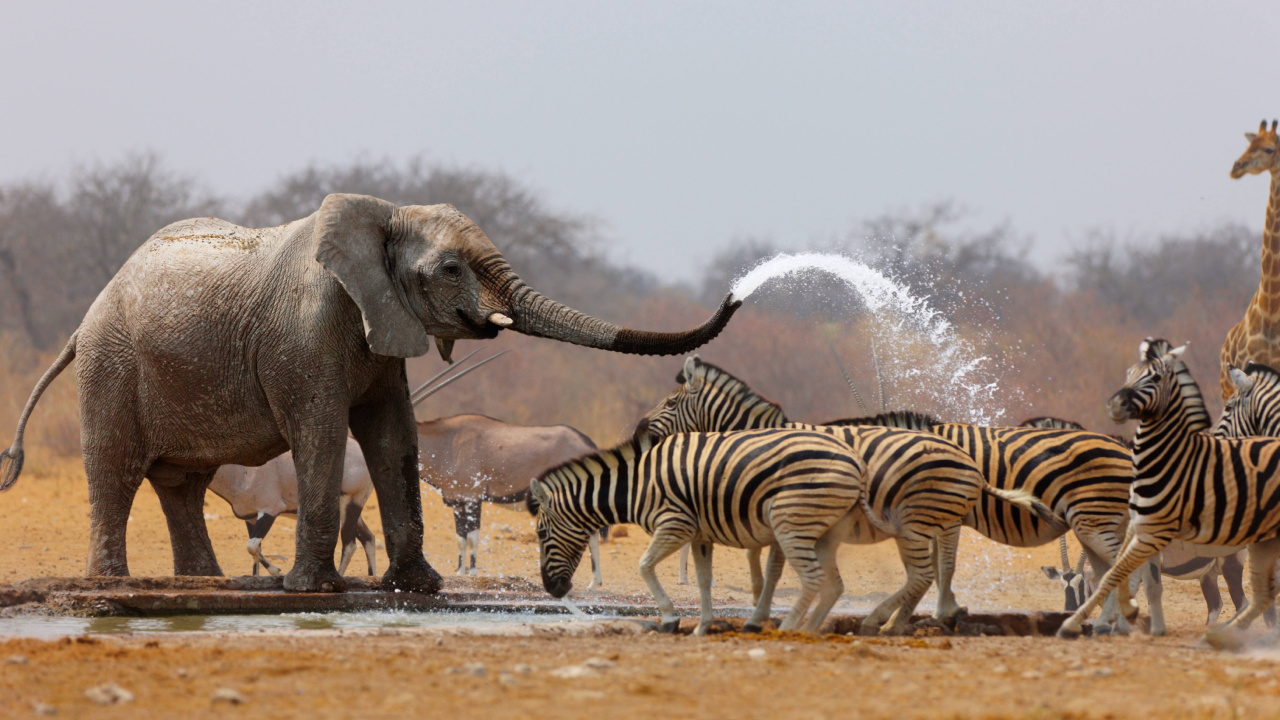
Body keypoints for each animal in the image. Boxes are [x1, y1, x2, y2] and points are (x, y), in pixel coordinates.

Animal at [527, 428, 869, 635]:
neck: (637, 484)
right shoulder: (700, 534)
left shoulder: (675, 524)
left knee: (813, 579)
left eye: (541, 534)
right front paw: (702, 627)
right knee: (832, 584)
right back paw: (806, 629)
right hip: (822, 531)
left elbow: (644, 565)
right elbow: (704, 581)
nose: (553, 590)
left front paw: (669, 618)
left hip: (791, 523)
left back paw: (787, 629)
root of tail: (856, 459)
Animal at [643, 356, 1146, 634]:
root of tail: (1122, 447)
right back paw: (1110, 622)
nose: (641, 432)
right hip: (1094, 521)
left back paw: (1116, 621)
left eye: (670, 403)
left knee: (1123, 565)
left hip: (1093, 518)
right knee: (1117, 566)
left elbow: (773, 566)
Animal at [1058, 338, 1280, 638]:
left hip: (1232, 562)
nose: (1068, 609)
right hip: (1211, 571)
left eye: (1081, 584)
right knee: (1223, 604)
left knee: (1245, 601)